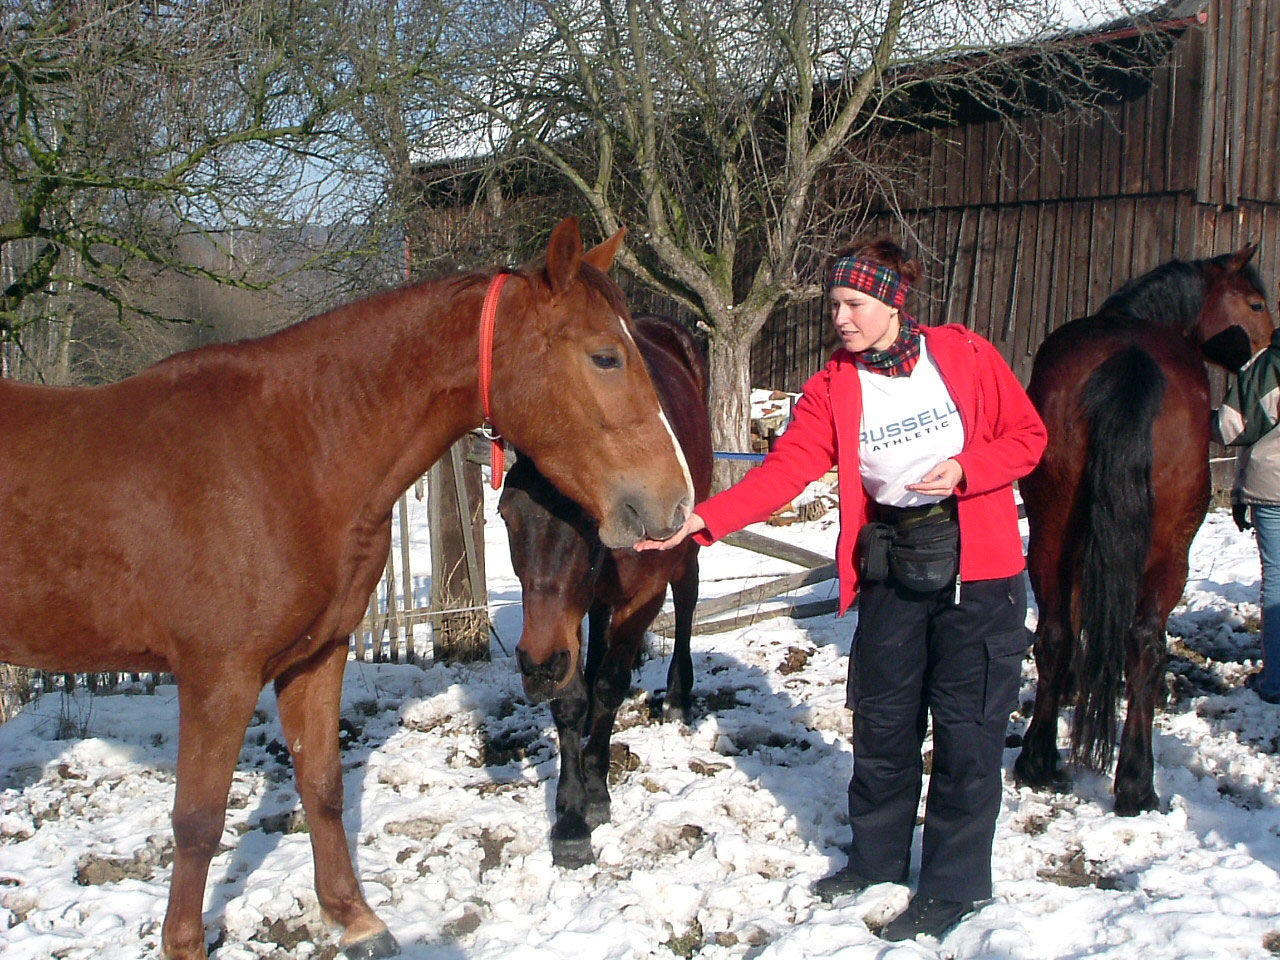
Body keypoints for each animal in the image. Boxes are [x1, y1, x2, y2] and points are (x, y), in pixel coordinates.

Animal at [496, 317, 716, 870]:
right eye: (506, 515)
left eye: (586, 517)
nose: (537, 664)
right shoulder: (560, 620)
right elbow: (574, 698)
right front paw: (570, 815)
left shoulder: (642, 599)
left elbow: (610, 686)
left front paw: (596, 792)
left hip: (683, 551)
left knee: (686, 600)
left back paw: (678, 697)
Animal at [1013, 245, 1274, 819]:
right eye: (1256, 303)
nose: (1273, 348)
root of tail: (1129, 359)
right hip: (1169, 551)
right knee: (1142, 644)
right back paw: (1133, 780)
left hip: (1052, 534)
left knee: (1061, 635)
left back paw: (1043, 760)